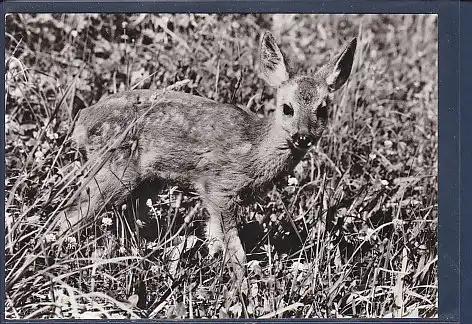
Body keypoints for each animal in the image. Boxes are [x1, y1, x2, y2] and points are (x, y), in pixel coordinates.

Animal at [62, 31, 358, 280]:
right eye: (287, 108)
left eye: (322, 110)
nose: (302, 136)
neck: (255, 147)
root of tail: (81, 121)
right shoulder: (218, 187)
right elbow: (234, 249)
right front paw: (243, 290)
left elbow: (215, 240)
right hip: (115, 170)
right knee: (71, 213)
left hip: (145, 181)